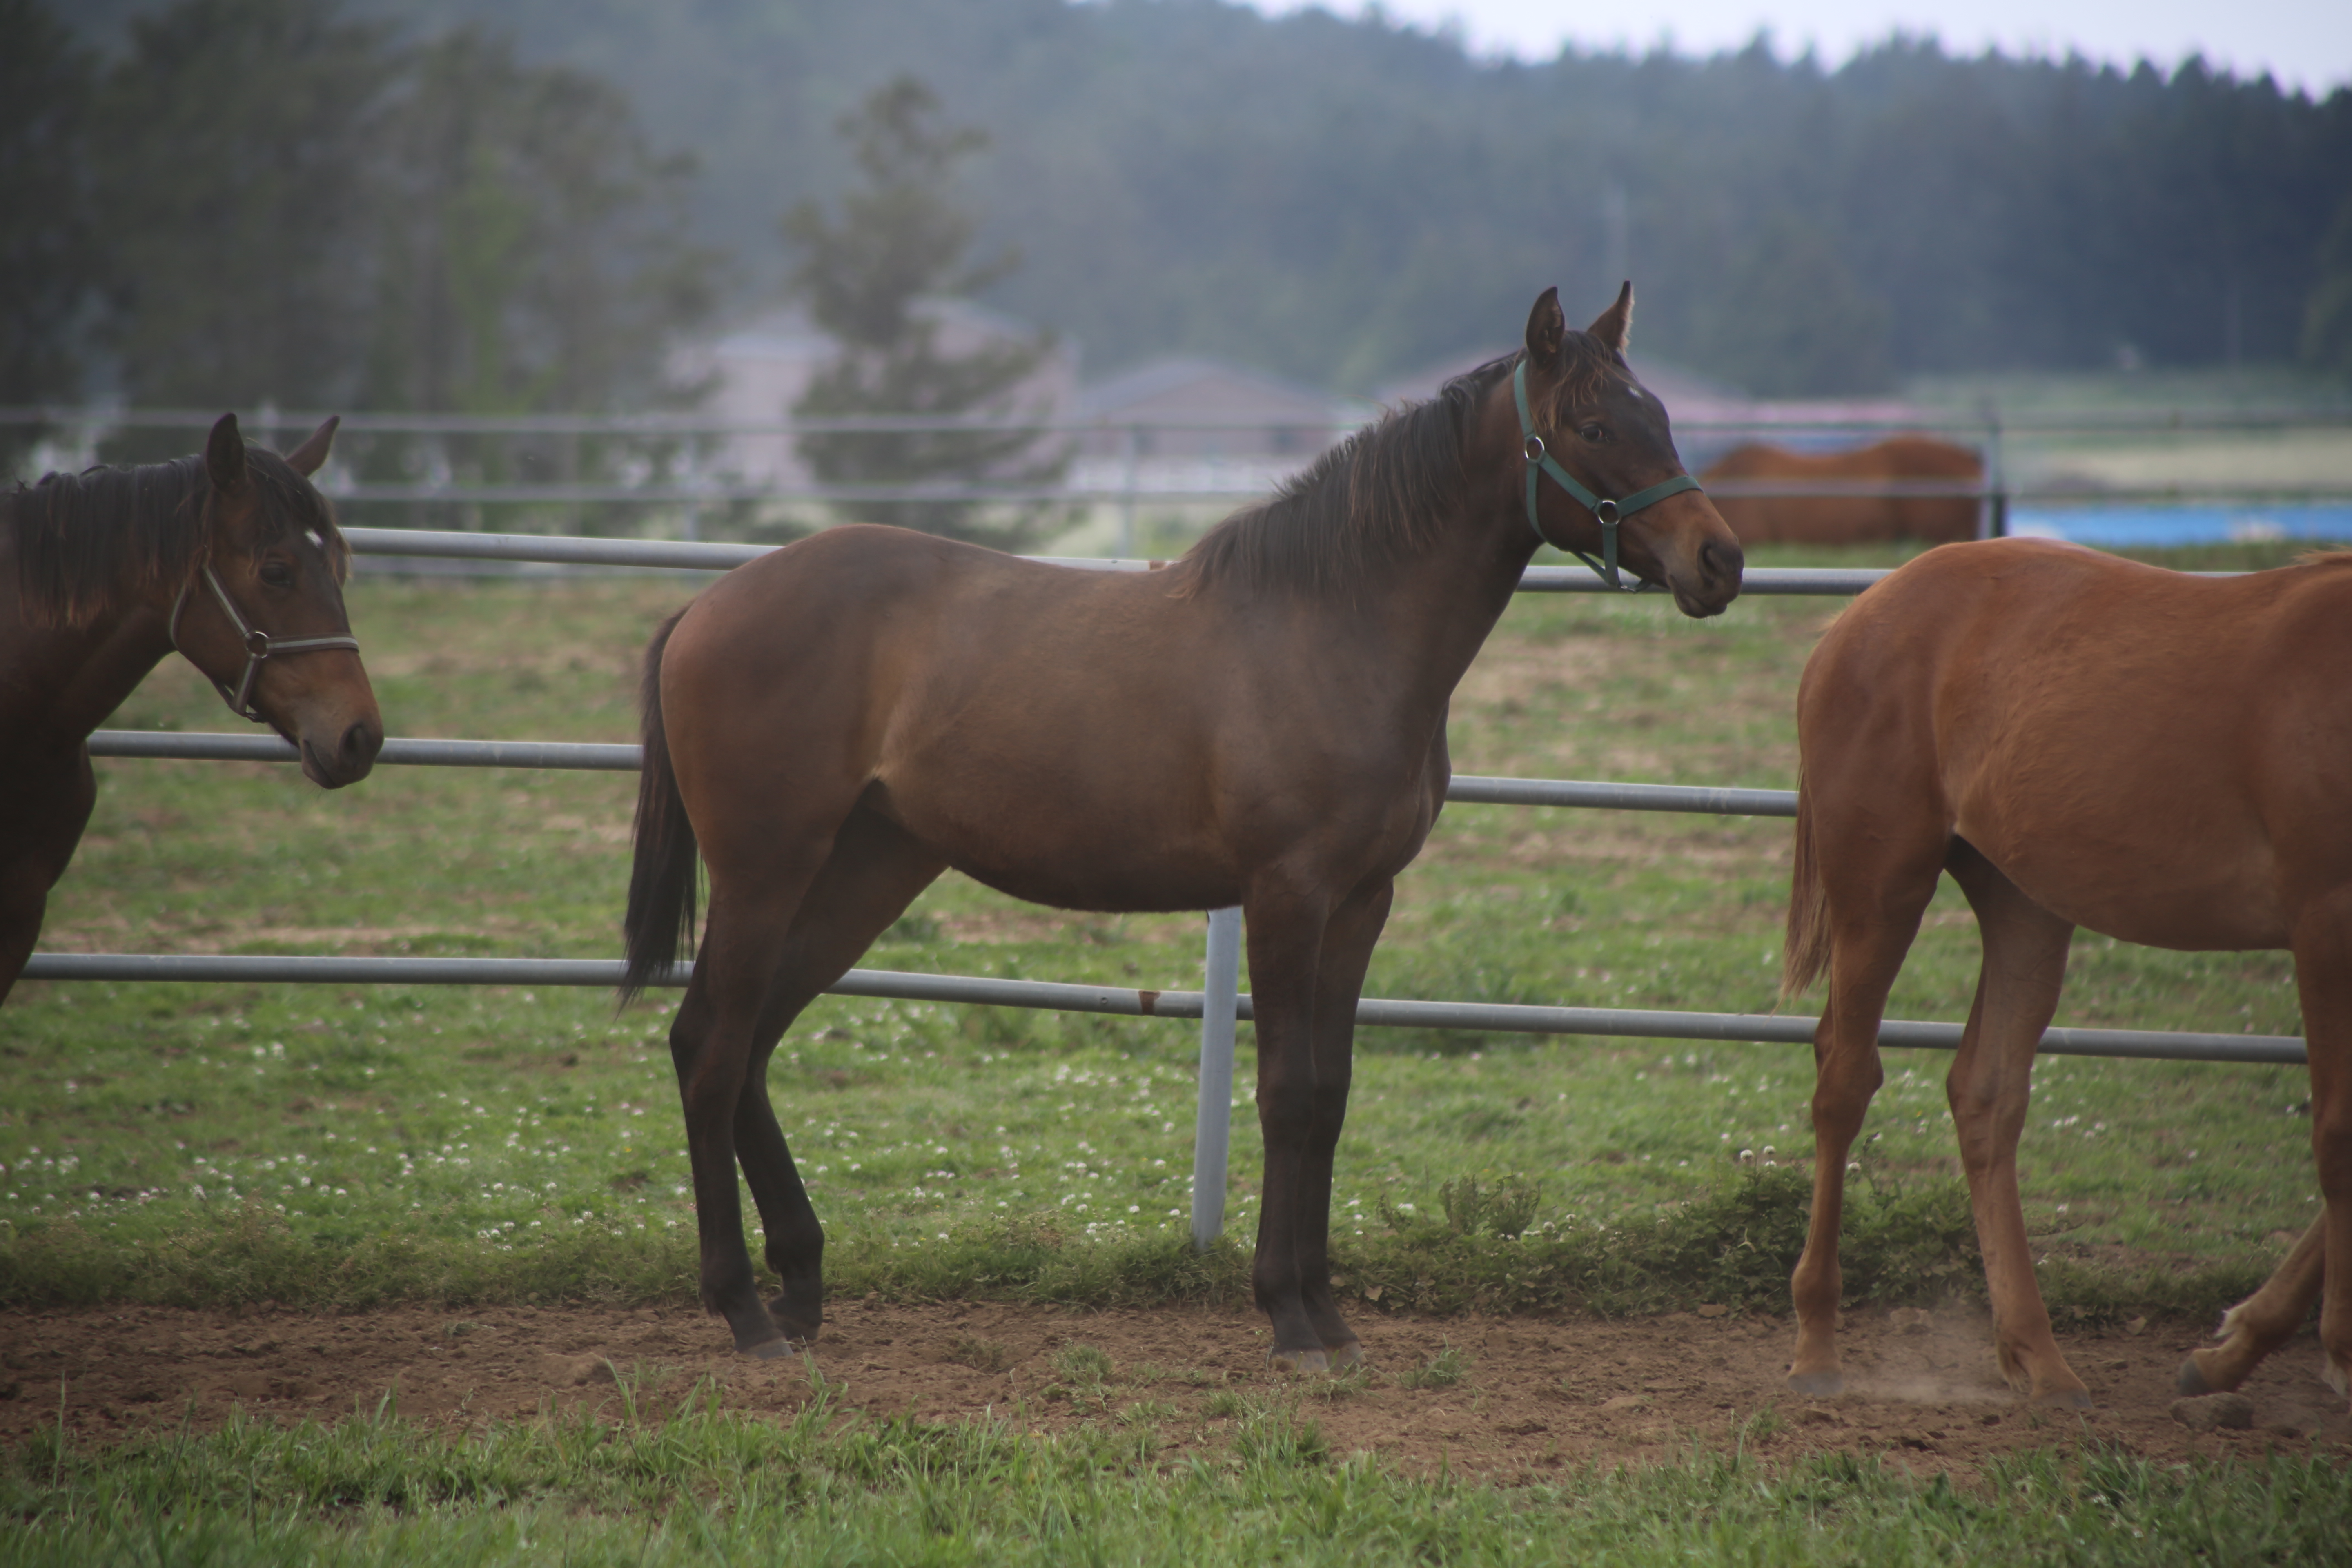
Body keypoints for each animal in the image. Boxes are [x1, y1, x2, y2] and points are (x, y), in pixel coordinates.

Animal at [626, 288, 1750, 1363]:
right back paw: (747, 1314)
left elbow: (1332, 1097)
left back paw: (801, 1284)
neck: (1334, 627)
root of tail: (707, 607)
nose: (1720, 561)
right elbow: (1287, 1093)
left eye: (1660, 414)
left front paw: (1330, 1315)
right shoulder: (1287, 893)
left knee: (749, 1045)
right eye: (1596, 425)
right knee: (711, 1050)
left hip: (863, 871)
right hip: (766, 873)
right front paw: (1288, 1318)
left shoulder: (1362, 901)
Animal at [1778, 536, 2352, 1410]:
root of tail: (1864, 611)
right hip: (1882, 886)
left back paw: (2038, 1357)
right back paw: (1816, 1344)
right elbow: (2340, 1137)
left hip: (2025, 906)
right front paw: (2335, 1355)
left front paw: (2230, 1351)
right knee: (1844, 1079)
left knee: (1985, 1096)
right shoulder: (2326, 922)